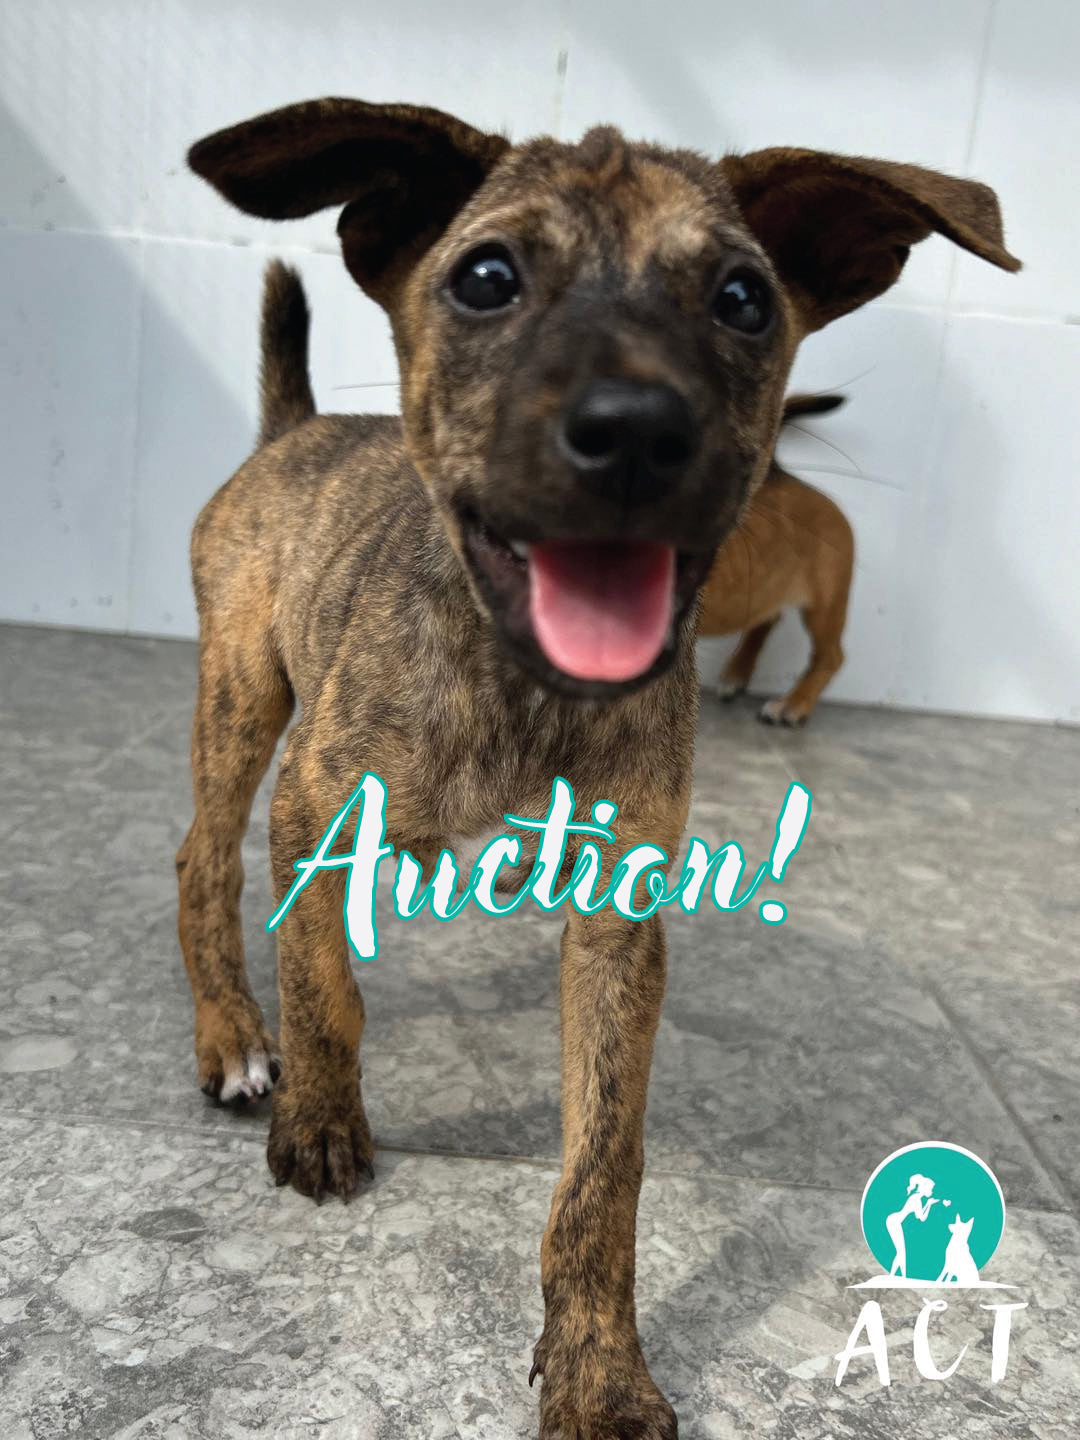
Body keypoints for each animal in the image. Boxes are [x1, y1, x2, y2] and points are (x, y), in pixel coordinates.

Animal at [700, 393, 853, 725]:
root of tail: (783, 476)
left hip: (825, 606)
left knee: (831, 656)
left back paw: (795, 704)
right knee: (765, 620)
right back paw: (737, 675)